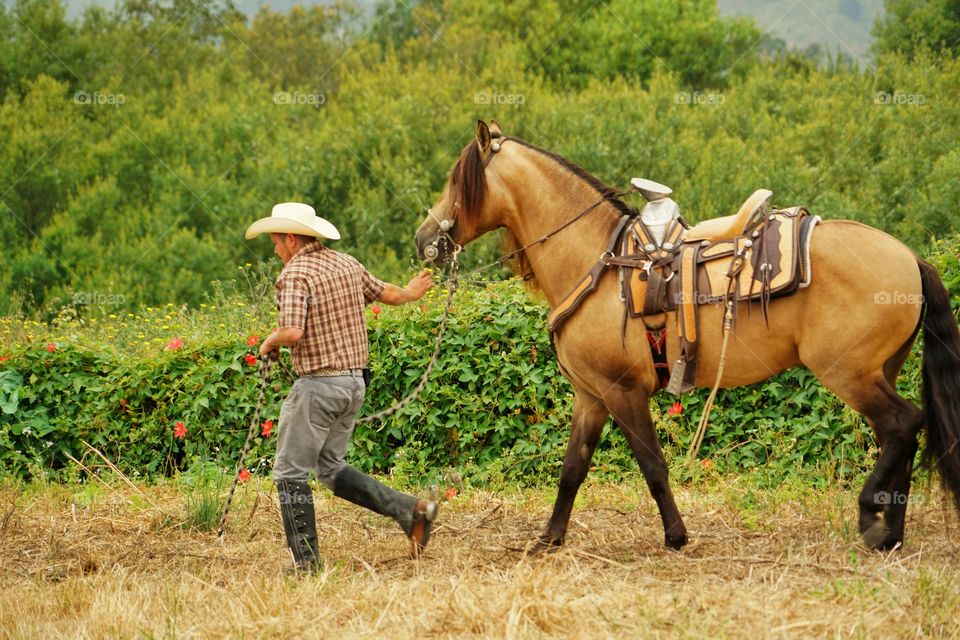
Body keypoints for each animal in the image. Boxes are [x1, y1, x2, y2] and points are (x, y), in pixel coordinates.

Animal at [412, 119, 960, 552]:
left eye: (457, 180)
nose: (424, 240)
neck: (598, 263)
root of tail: (910, 257)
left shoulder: (623, 392)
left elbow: (653, 466)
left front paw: (675, 535)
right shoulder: (591, 396)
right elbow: (572, 469)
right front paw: (549, 538)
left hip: (848, 372)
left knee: (903, 425)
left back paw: (872, 519)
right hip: (878, 371)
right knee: (900, 435)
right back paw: (892, 534)